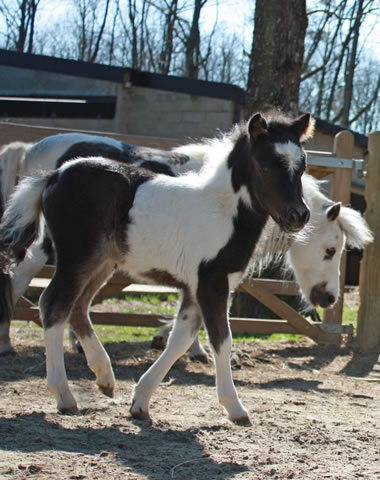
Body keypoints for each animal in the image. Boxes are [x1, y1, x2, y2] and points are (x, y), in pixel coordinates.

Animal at [0, 109, 312, 424]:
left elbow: (180, 339)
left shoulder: (196, 288)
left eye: (302, 166)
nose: (298, 215)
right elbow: (221, 340)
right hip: (76, 258)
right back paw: (64, 396)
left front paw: (140, 400)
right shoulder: (212, 283)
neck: (223, 211)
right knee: (53, 306)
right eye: (265, 166)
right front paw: (235, 409)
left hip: (101, 263)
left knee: (78, 307)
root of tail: (52, 176)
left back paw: (105, 378)